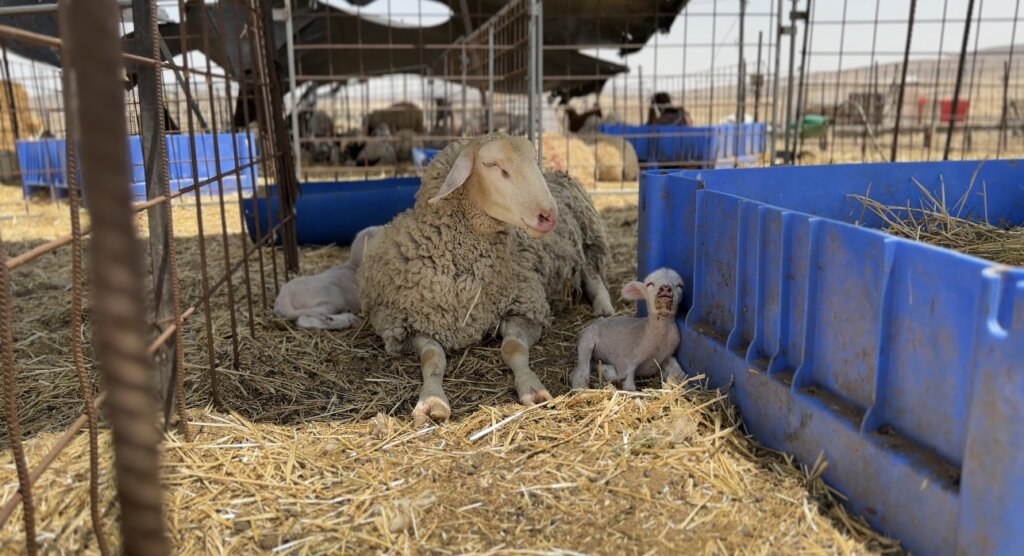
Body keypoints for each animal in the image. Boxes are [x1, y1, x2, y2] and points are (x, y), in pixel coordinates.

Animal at [360, 133, 614, 423]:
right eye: (492, 164)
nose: (549, 216)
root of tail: (561, 174)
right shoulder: (411, 325)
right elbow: (433, 358)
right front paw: (432, 401)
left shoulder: (525, 310)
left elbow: (513, 349)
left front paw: (532, 388)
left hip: (588, 243)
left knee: (594, 278)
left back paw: (604, 308)